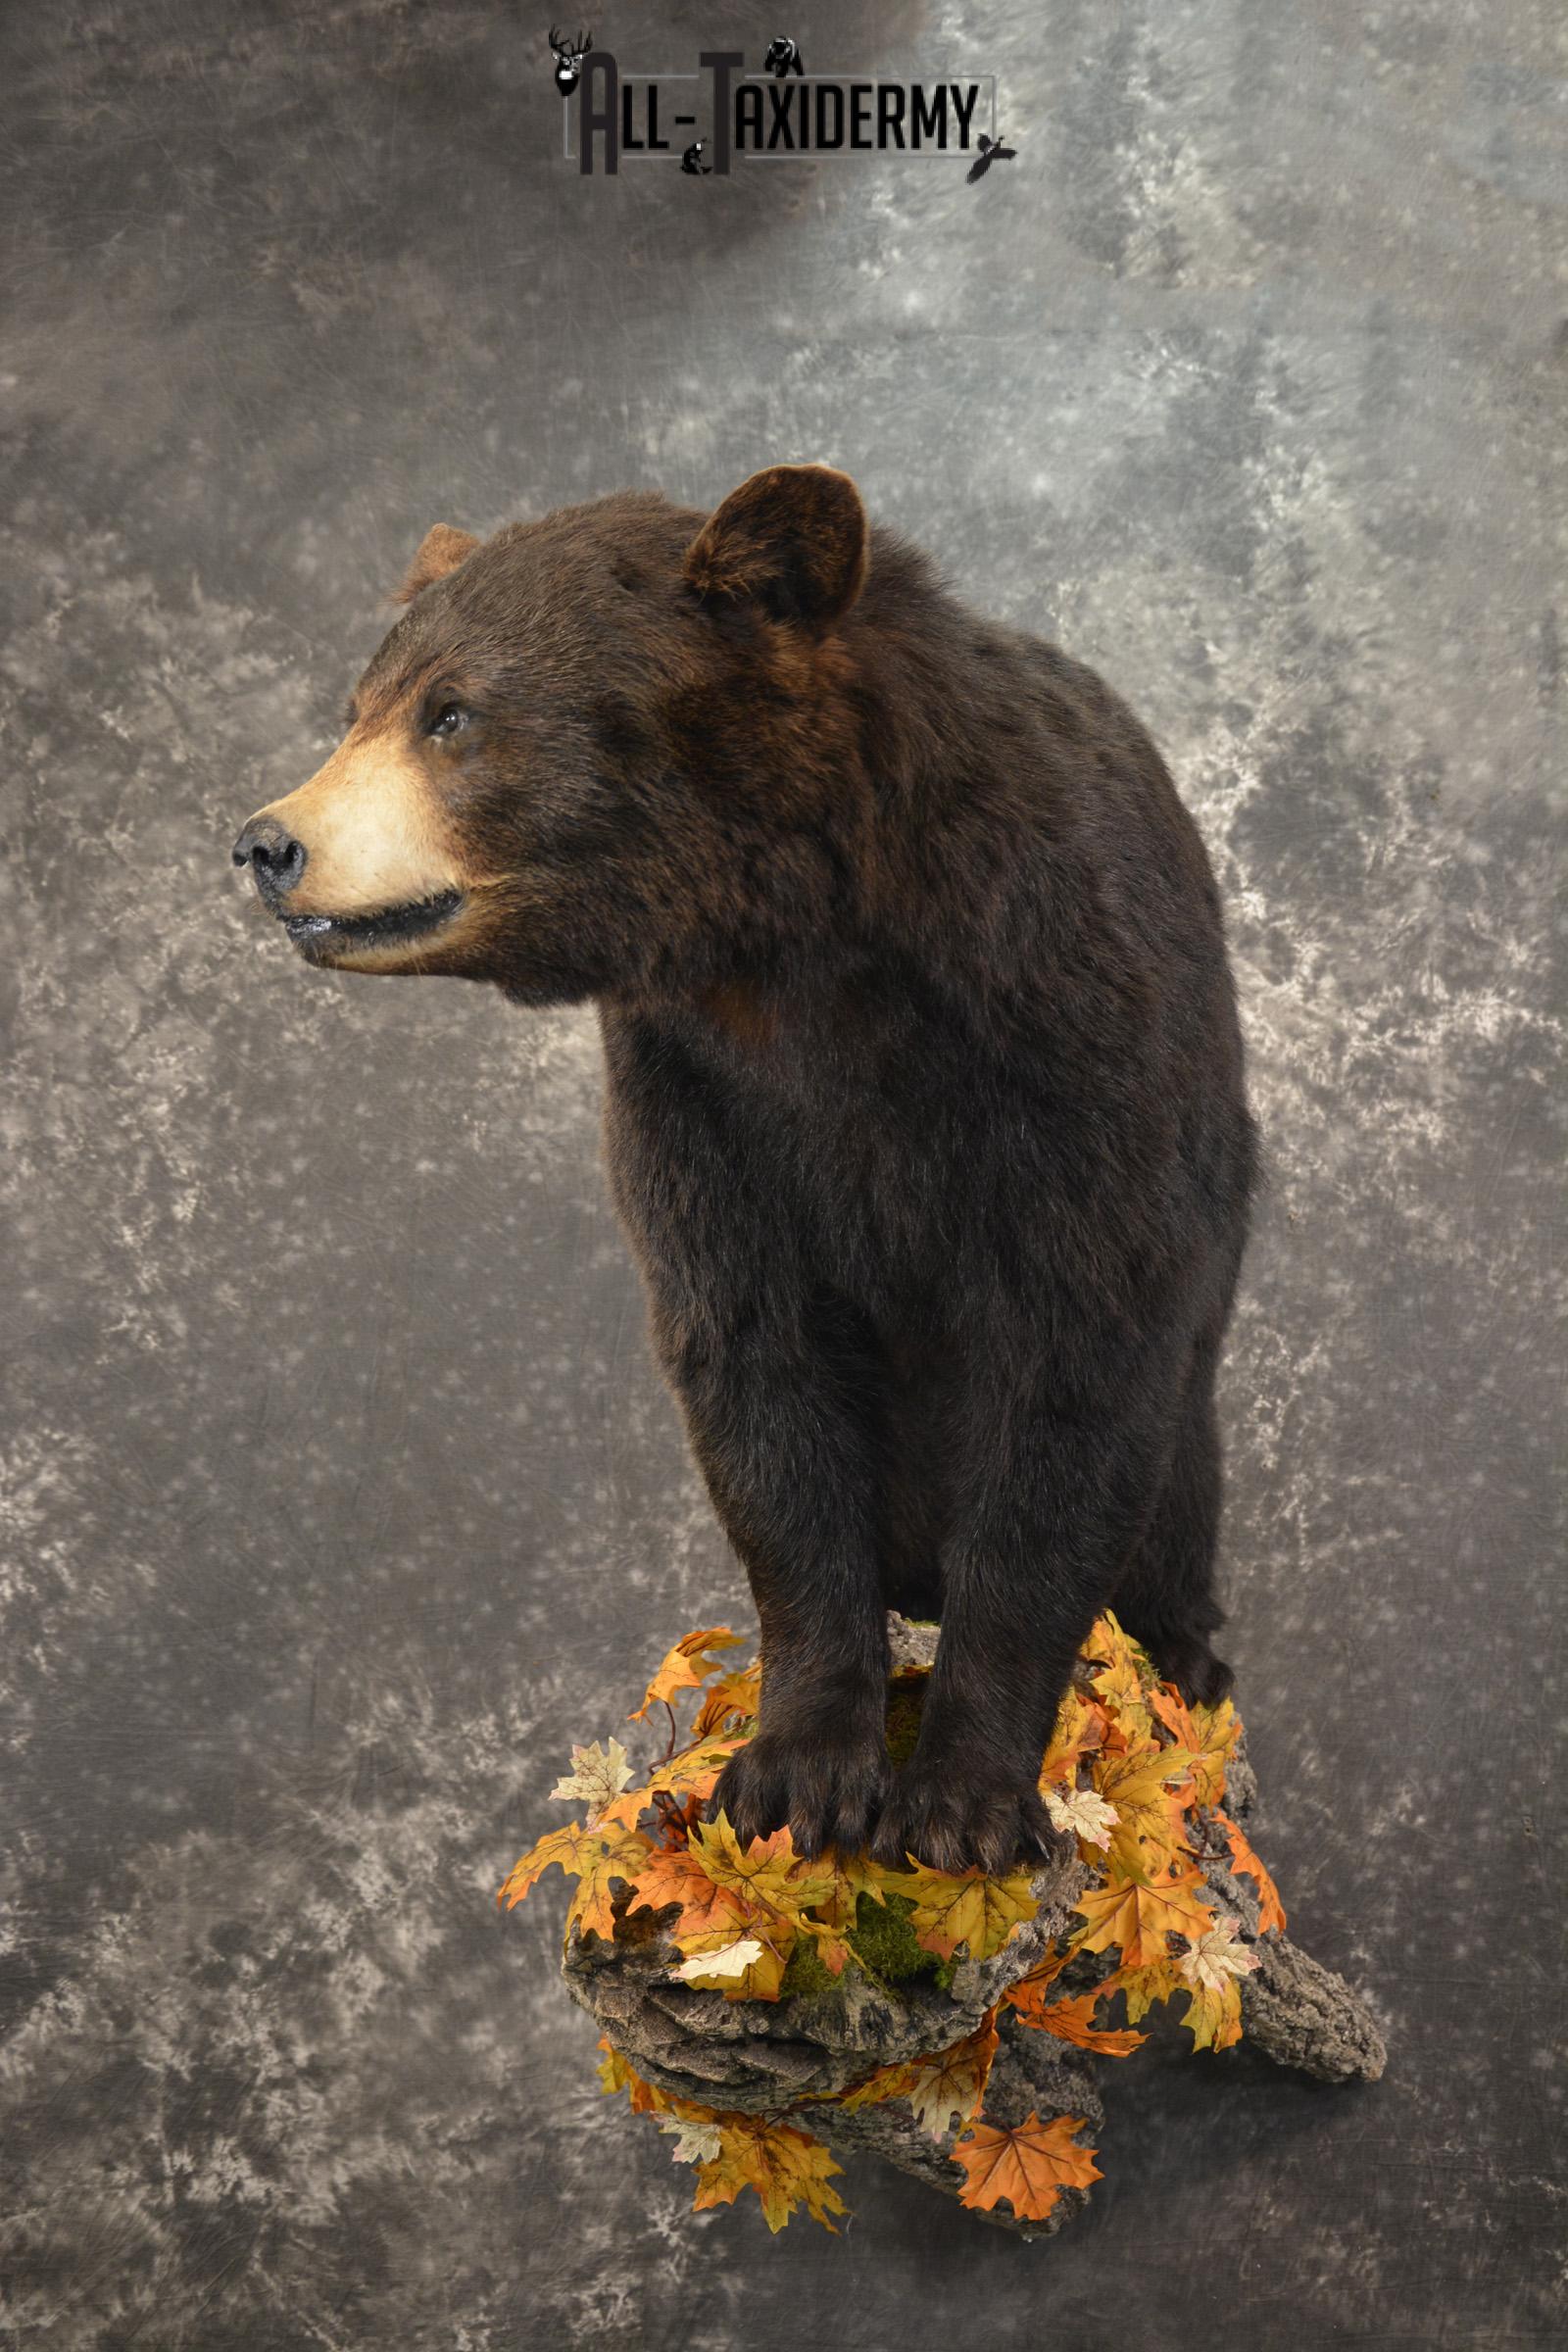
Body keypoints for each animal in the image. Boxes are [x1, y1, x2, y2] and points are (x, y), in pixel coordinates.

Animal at [233, 463, 1259, 1876]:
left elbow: (1080, 1367)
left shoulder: (1073, 1037)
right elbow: (757, 1378)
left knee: (1170, 1515)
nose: (267, 844)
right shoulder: (702, 1098)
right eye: (358, 711)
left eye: (454, 713)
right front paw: (799, 1774)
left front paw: (963, 1802)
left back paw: (1184, 1680)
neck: (803, 950)